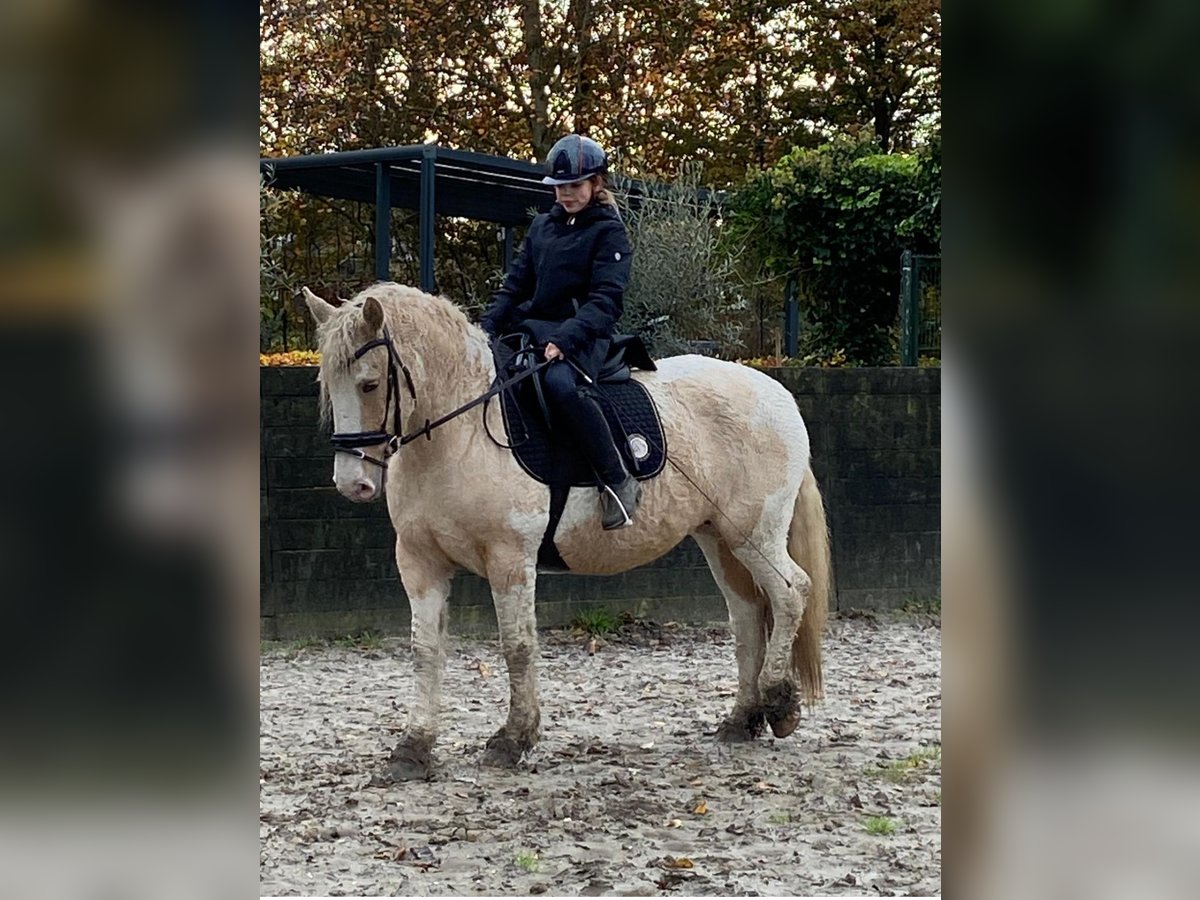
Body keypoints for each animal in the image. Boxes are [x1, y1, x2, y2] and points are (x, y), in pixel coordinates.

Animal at [300, 283, 830, 782]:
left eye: (370, 385)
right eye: (329, 386)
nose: (353, 483)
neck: (459, 433)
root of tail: (776, 393)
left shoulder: (509, 558)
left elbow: (517, 647)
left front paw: (513, 740)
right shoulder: (418, 561)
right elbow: (425, 650)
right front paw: (413, 749)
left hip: (752, 533)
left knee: (790, 593)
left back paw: (779, 704)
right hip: (717, 538)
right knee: (747, 615)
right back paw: (742, 719)